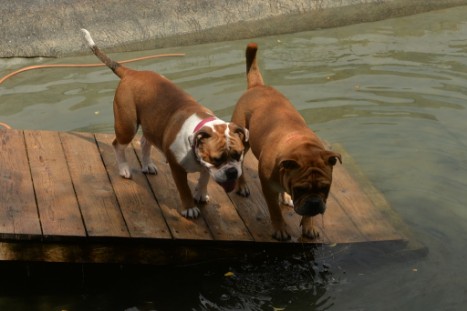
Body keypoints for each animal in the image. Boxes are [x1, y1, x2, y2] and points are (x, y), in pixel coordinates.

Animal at [81, 29, 249, 219]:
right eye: (217, 159)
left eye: (239, 155)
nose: (232, 172)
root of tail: (131, 73)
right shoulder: (177, 169)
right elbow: (184, 189)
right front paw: (189, 207)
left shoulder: (205, 167)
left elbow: (204, 178)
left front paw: (200, 193)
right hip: (127, 125)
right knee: (118, 144)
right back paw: (124, 169)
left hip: (150, 123)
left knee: (145, 141)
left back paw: (147, 165)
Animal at [232, 43, 342, 241]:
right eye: (300, 189)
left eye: (325, 188)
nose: (315, 202)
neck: (302, 147)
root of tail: (257, 86)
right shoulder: (268, 189)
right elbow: (275, 211)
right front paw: (280, 229)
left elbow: (307, 214)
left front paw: (309, 226)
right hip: (242, 142)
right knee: (240, 165)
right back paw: (242, 186)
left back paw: (285, 197)